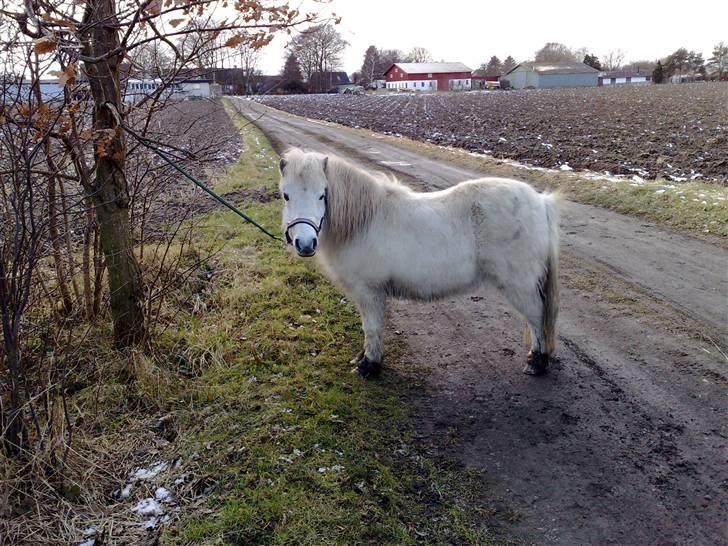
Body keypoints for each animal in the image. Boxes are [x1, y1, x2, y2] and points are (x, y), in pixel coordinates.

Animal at [280, 149, 564, 378]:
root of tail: (540, 202)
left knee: (537, 316)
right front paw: (365, 359)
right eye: (285, 195)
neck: (365, 221)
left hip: (519, 285)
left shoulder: (370, 292)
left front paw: (369, 366)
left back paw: (537, 363)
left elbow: (372, 327)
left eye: (322, 195)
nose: (305, 244)